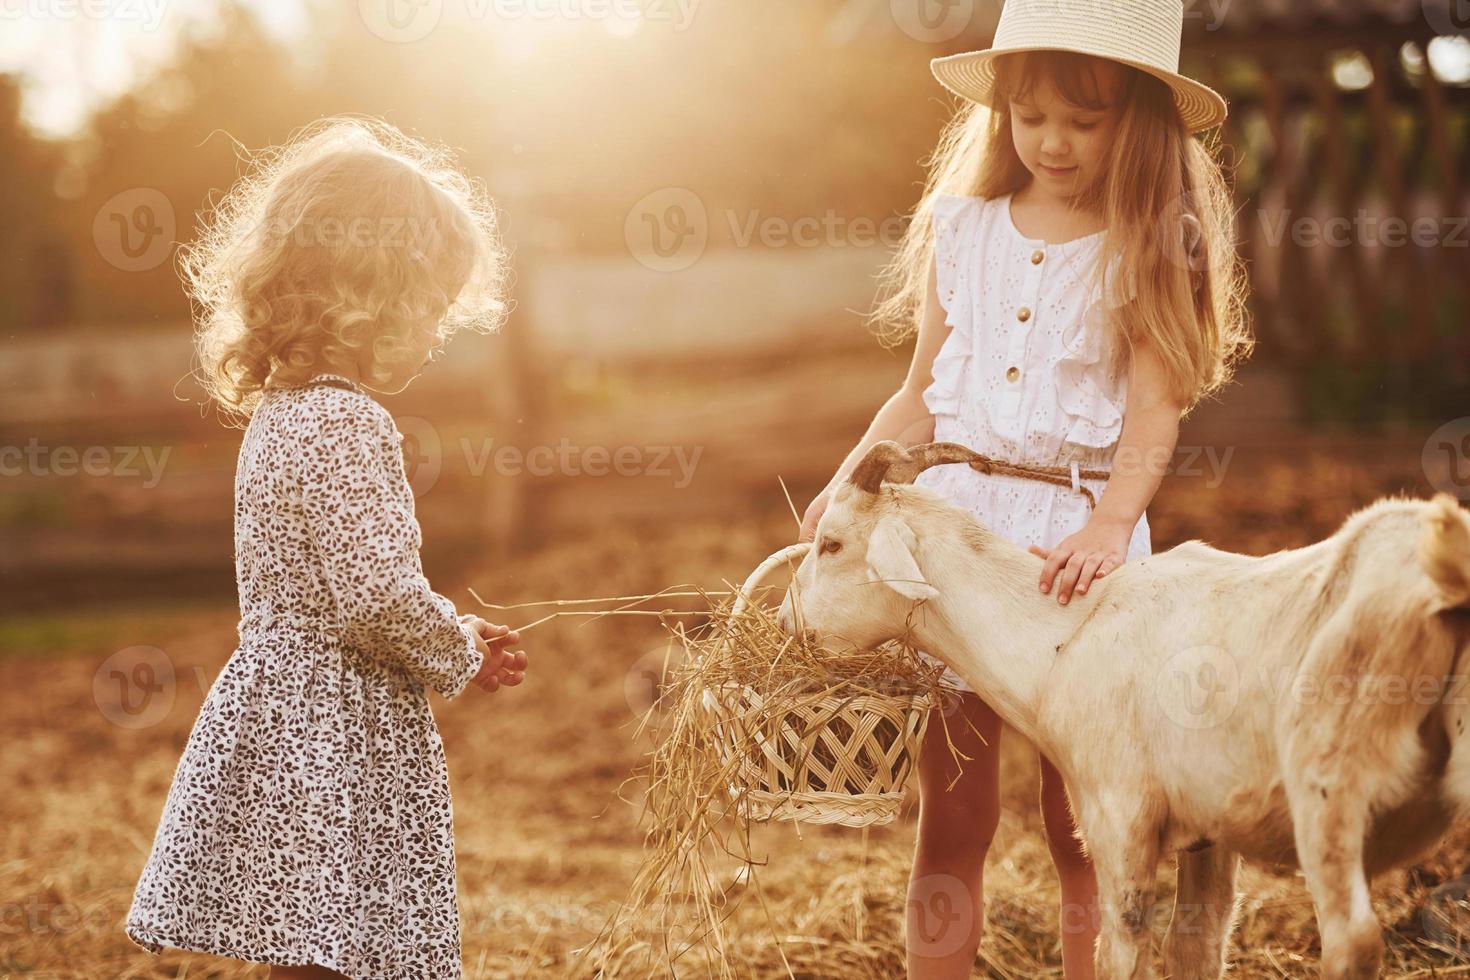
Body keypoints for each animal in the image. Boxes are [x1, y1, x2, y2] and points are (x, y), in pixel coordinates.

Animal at [782, 440, 1470, 975]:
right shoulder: (1209, 833)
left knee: (1354, 940)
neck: (1063, 637)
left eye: (832, 544)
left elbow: (1118, 949)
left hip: (1331, 789)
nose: (787, 625)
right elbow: (1196, 946)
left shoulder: (1120, 818)